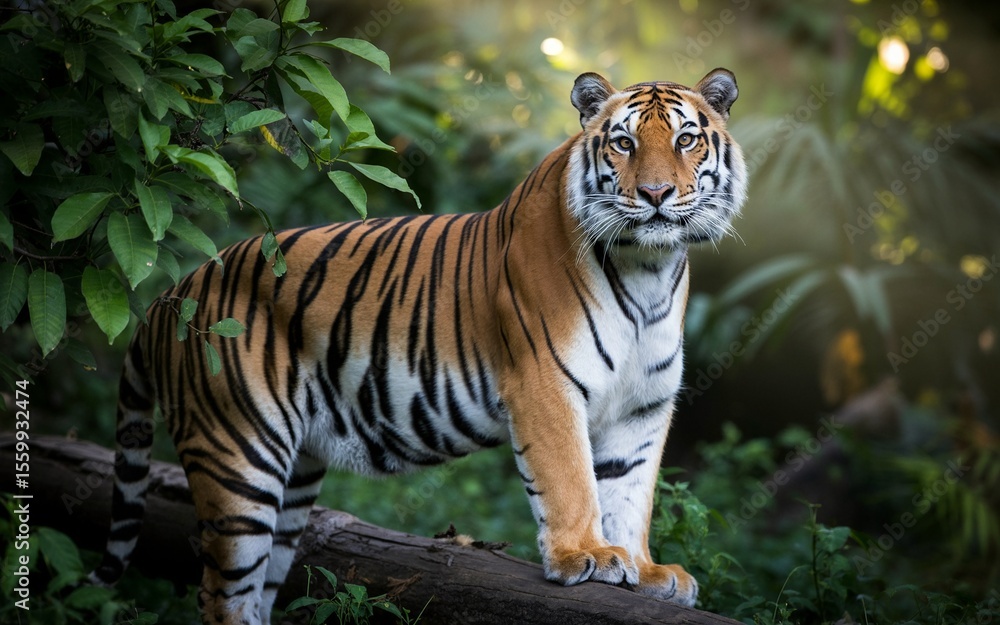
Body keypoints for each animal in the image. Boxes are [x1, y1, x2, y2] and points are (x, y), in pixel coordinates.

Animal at [90, 68, 747, 624]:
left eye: (687, 140)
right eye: (624, 144)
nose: (656, 194)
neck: (649, 267)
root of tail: (172, 293)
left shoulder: (642, 407)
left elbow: (629, 493)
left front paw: (644, 568)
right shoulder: (546, 385)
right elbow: (571, 481)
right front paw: (584, 555)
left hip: (292, 477)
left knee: (256, 593)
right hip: (236, 458)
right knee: (219, 592)